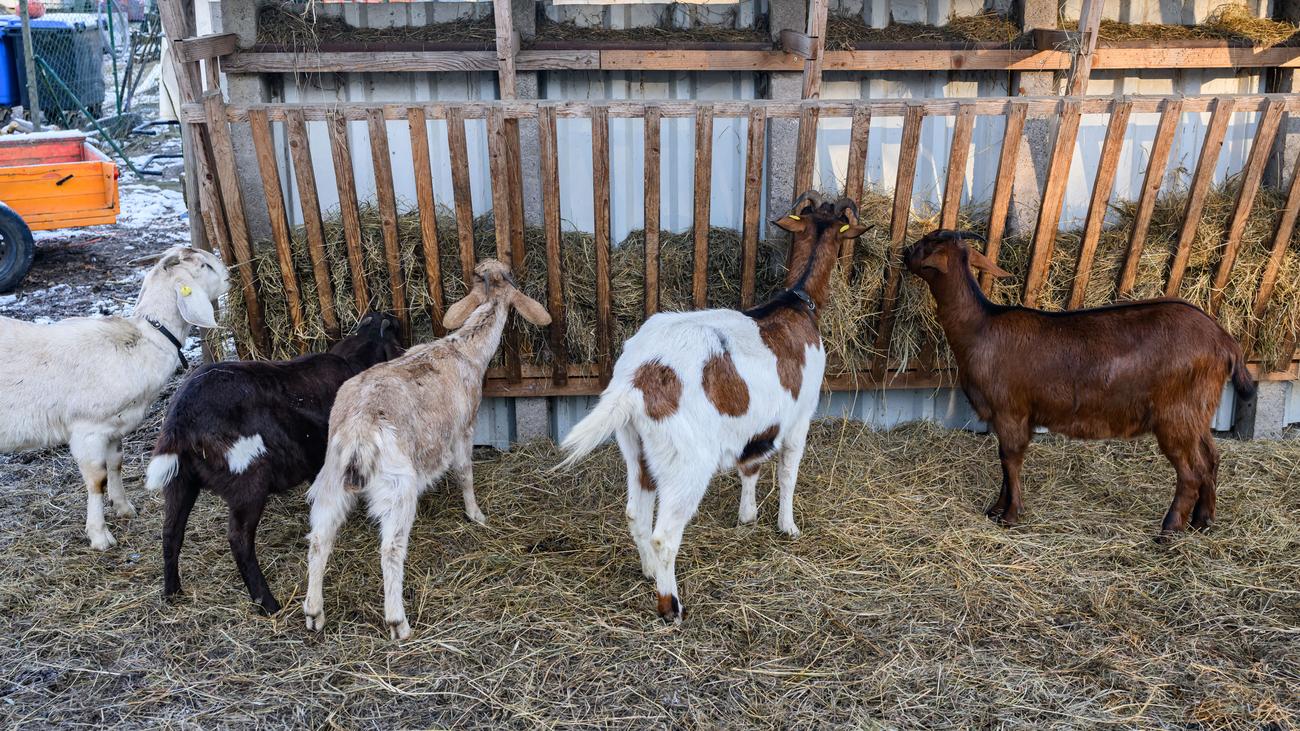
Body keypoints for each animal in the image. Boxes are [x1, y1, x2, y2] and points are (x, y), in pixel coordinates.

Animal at [0, 244, 228, 546]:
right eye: (205, 266)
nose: (230, 277)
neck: (144, 341)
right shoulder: (88, 430)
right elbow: (98, 479)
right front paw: (100, 535)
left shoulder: (113, 427)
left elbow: (116, 464)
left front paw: (124, 507)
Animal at [144, 309, 403, 611]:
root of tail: (181, 420)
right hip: (248, 480)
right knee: (239, 539)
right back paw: (267, 602)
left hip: (179, 479)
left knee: (170, 532)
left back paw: (172, 591)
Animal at [302, 260, 548, 637]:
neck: (465, 350)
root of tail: (359, 431)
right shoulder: (463, 429)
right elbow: (464, 473)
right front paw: (476, 515)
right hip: (397, 487)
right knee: (390, 549)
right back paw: (398, 621)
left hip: (331, 476)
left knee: (319, 537)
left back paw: (314, 612)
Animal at [556, 191, 863, 616]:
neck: (797, 303)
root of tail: (637, 379)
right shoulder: (799, 417)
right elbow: (787, 473)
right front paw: (787, 526)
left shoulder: (755, 425)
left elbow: (750, 467)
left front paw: (747, 516)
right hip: (688, 460)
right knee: (665, 535)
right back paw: (670, 605)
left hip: (637, 447)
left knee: (636, 514)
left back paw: (649, 572)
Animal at [904, 227, 1258, 535]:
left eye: (926, 244)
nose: (904, 252)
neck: (981, 326)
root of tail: (1225, 341)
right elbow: (1006, 461)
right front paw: (996, 509)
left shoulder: (1010, 410)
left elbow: (1010, 458)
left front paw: (1010, 515)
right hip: (1198, 410)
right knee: (1211, 460)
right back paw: (1202, 521)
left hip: (1176, 414)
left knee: (1191, 472)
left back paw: (1168, 530)